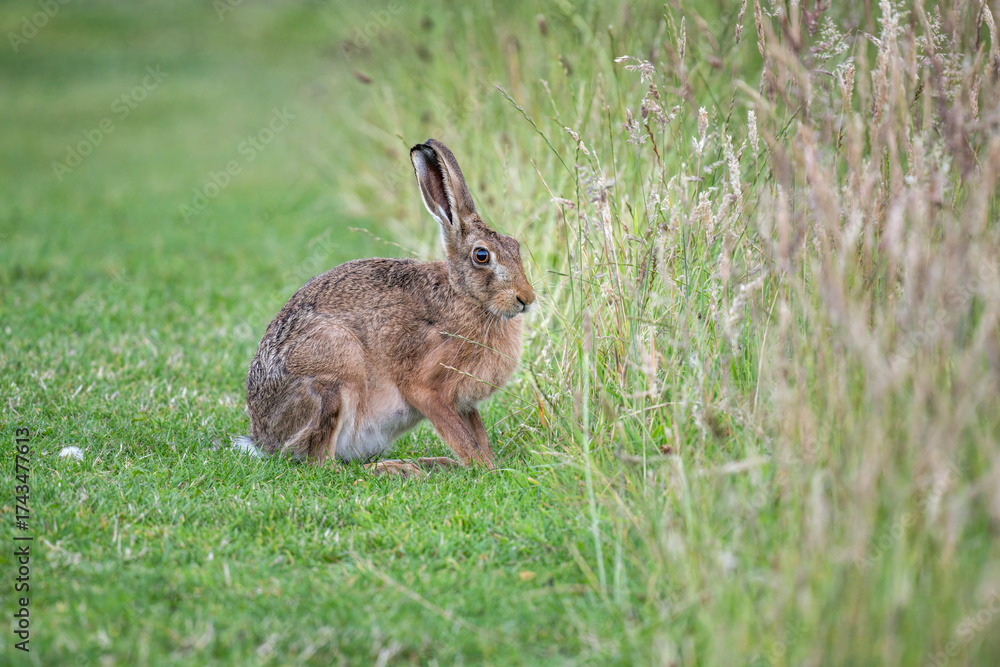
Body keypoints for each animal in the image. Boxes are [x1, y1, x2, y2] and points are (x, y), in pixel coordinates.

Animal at [236, 139, 535, 476]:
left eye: (515, 246)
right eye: (482, 256)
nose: (526, 298)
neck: (464, 296)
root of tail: (264, 438)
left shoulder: (465, 403)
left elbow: (477, 433)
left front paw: (491, 464)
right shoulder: (426, 390)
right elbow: (462, 438)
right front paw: (484, 469)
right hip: (335, 369)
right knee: (324, 464)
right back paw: (399, 468)